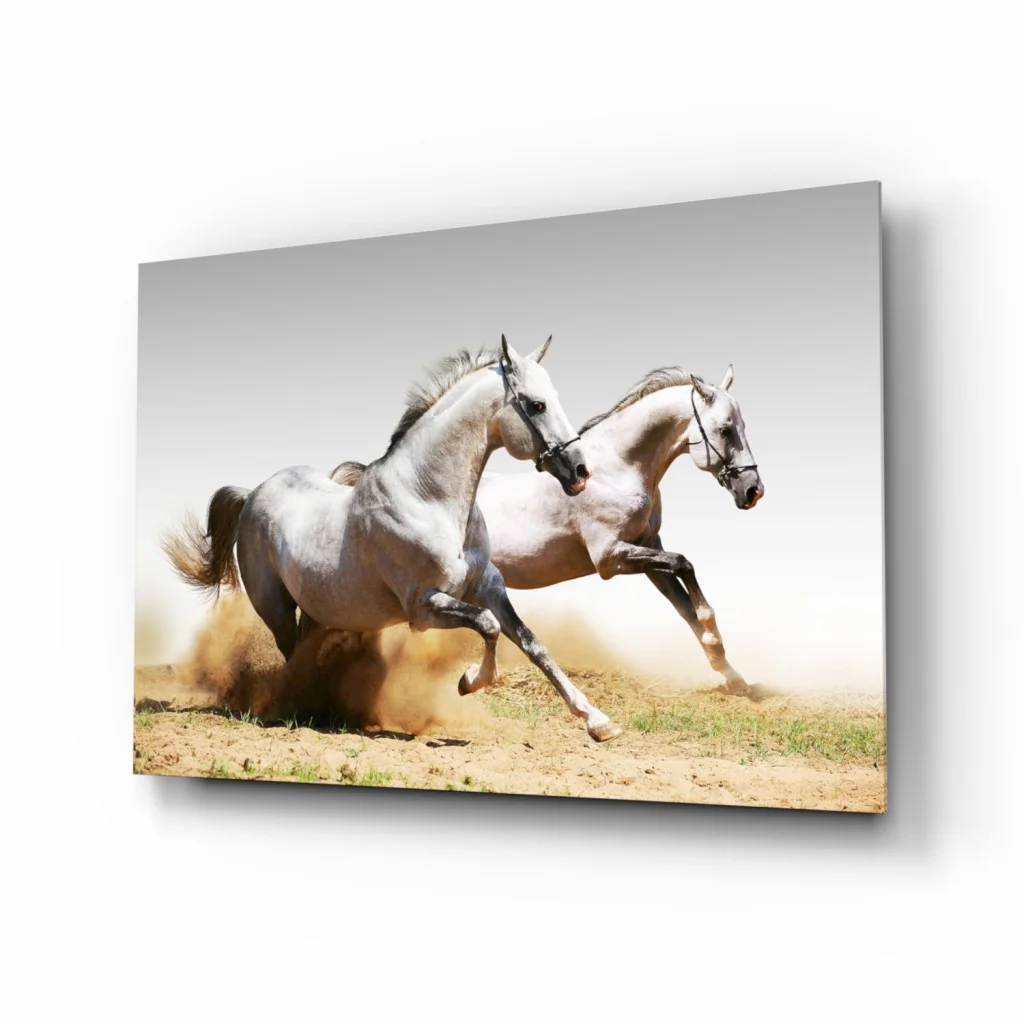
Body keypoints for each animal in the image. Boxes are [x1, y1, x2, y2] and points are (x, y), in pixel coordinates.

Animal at [163, 335, 624, 742]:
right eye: (536, 404)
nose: (581, 471)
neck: (428, 498)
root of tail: (253, 493)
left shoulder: (488, 586)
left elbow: (531, 643)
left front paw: (599, 722)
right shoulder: (424, 607)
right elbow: (489, 626)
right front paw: (468, 681)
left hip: (318, 608)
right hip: (275, 607)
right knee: (291, 656)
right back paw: (297, 709)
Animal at [330, 364, 763, 693]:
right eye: (726, 429)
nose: (753, 490)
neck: (617, 468)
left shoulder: (645, 546)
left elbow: (683, 604)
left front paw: (732, 675)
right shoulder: (611, 558)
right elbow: (685, 566)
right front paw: (715, 638)